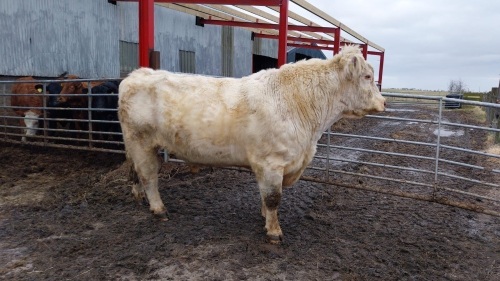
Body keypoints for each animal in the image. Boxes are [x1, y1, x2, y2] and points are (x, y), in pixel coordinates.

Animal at [118, 44, 386, 242]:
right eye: (367, 76)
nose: (384, 102)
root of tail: (136, 74)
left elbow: (265, 197)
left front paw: (264, 217)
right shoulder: (272, 162)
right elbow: (273, 197)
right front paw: (274, 232)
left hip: (138, 145)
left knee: (135, 172)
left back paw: (138, 197)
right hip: (142, 142)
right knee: (148, 176)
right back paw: (158, 209)